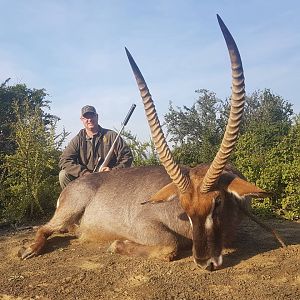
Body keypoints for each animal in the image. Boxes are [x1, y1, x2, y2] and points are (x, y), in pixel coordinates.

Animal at [18, 15, 286, 270]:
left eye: (217, 201)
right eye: (183, 206)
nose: (204, 261)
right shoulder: (144, 224)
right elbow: (170, 245)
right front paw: (117, 244)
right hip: (67, 212)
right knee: (44, 228)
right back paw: (29, 249)